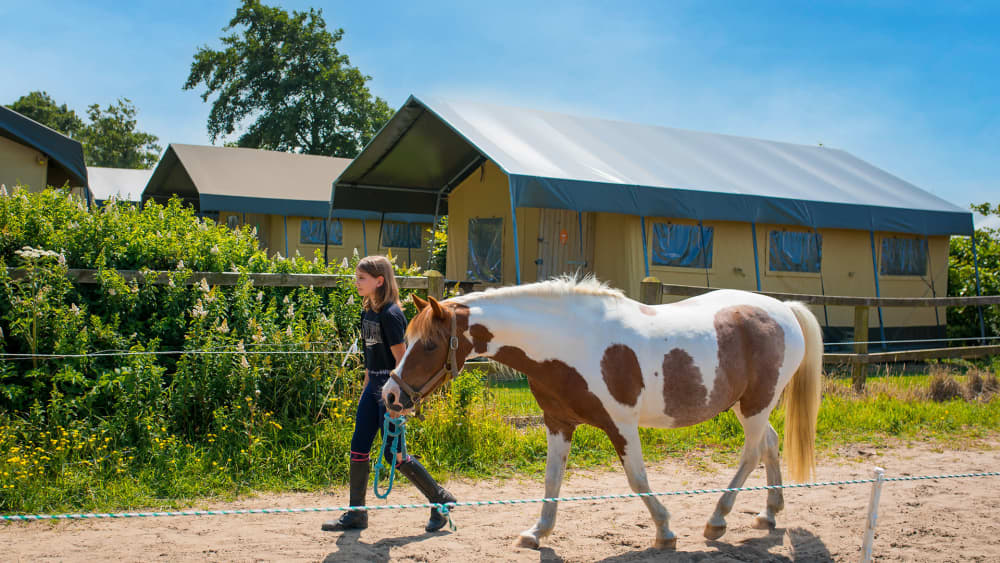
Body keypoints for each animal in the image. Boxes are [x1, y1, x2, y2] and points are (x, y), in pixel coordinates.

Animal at [382, 278, 820, 552]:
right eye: (407, 338)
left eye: (429, 344)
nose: (390, 396)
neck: (570, 342)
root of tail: (783, 309)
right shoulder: (558, 423)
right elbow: (552, 480)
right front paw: (537, 532)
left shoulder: (621, 425)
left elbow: (637, 479)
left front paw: (665, 530)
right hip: (747, 407)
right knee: (770, 445)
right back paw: (768, 514)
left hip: (756, 404)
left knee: (751, 453)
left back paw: (717, 520)